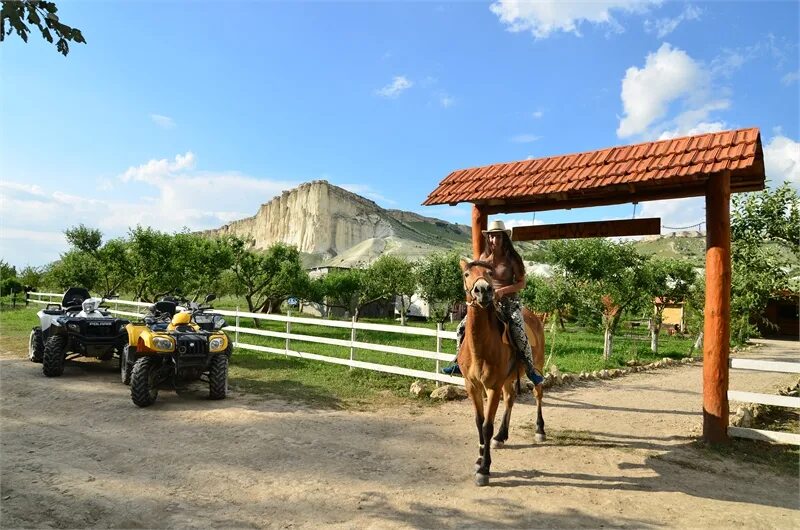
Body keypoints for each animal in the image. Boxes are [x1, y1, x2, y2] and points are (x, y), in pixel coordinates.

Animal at [456, 258, 544, 484]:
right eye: (466, 274)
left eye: (489, 273)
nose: (483, 290)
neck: (480, 347)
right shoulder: (473, 386)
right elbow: (479, 422)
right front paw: (479, 458)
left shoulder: (493, 387)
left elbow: (487, 425)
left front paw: (484, 469)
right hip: (507, 379)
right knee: (510, 399)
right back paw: (501, 436)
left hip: (537, 367)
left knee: (538, 393)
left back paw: (540, 430)